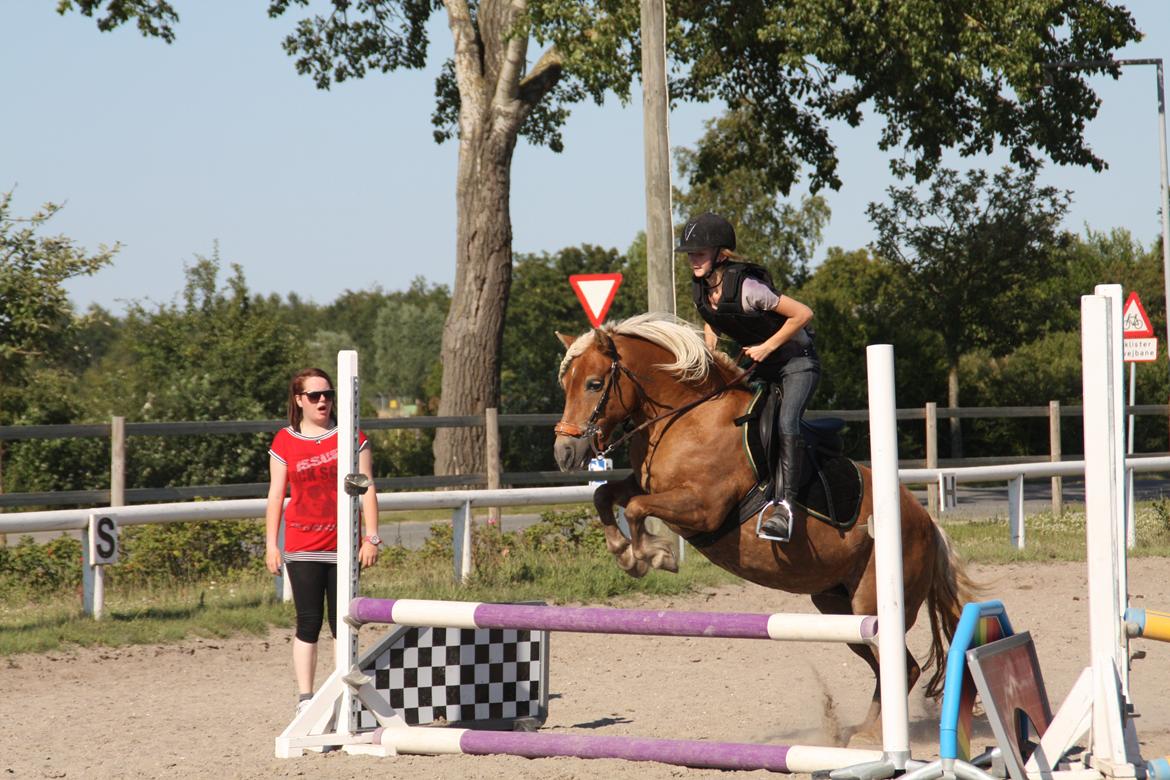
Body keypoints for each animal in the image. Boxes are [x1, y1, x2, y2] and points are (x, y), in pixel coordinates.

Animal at [552, 313, 973, 743]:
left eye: (594, 384)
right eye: (566, 385)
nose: (564, 454)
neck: (686, 417)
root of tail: (927, 524)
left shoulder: (703, 507)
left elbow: (636, 509)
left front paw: (653, 556)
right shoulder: (648, 485)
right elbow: (605, 495)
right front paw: (623, 552)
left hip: (872, 605)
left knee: (903, 668)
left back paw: (870, 738)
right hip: (837, 608)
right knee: (885, 668)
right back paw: (859, 732)